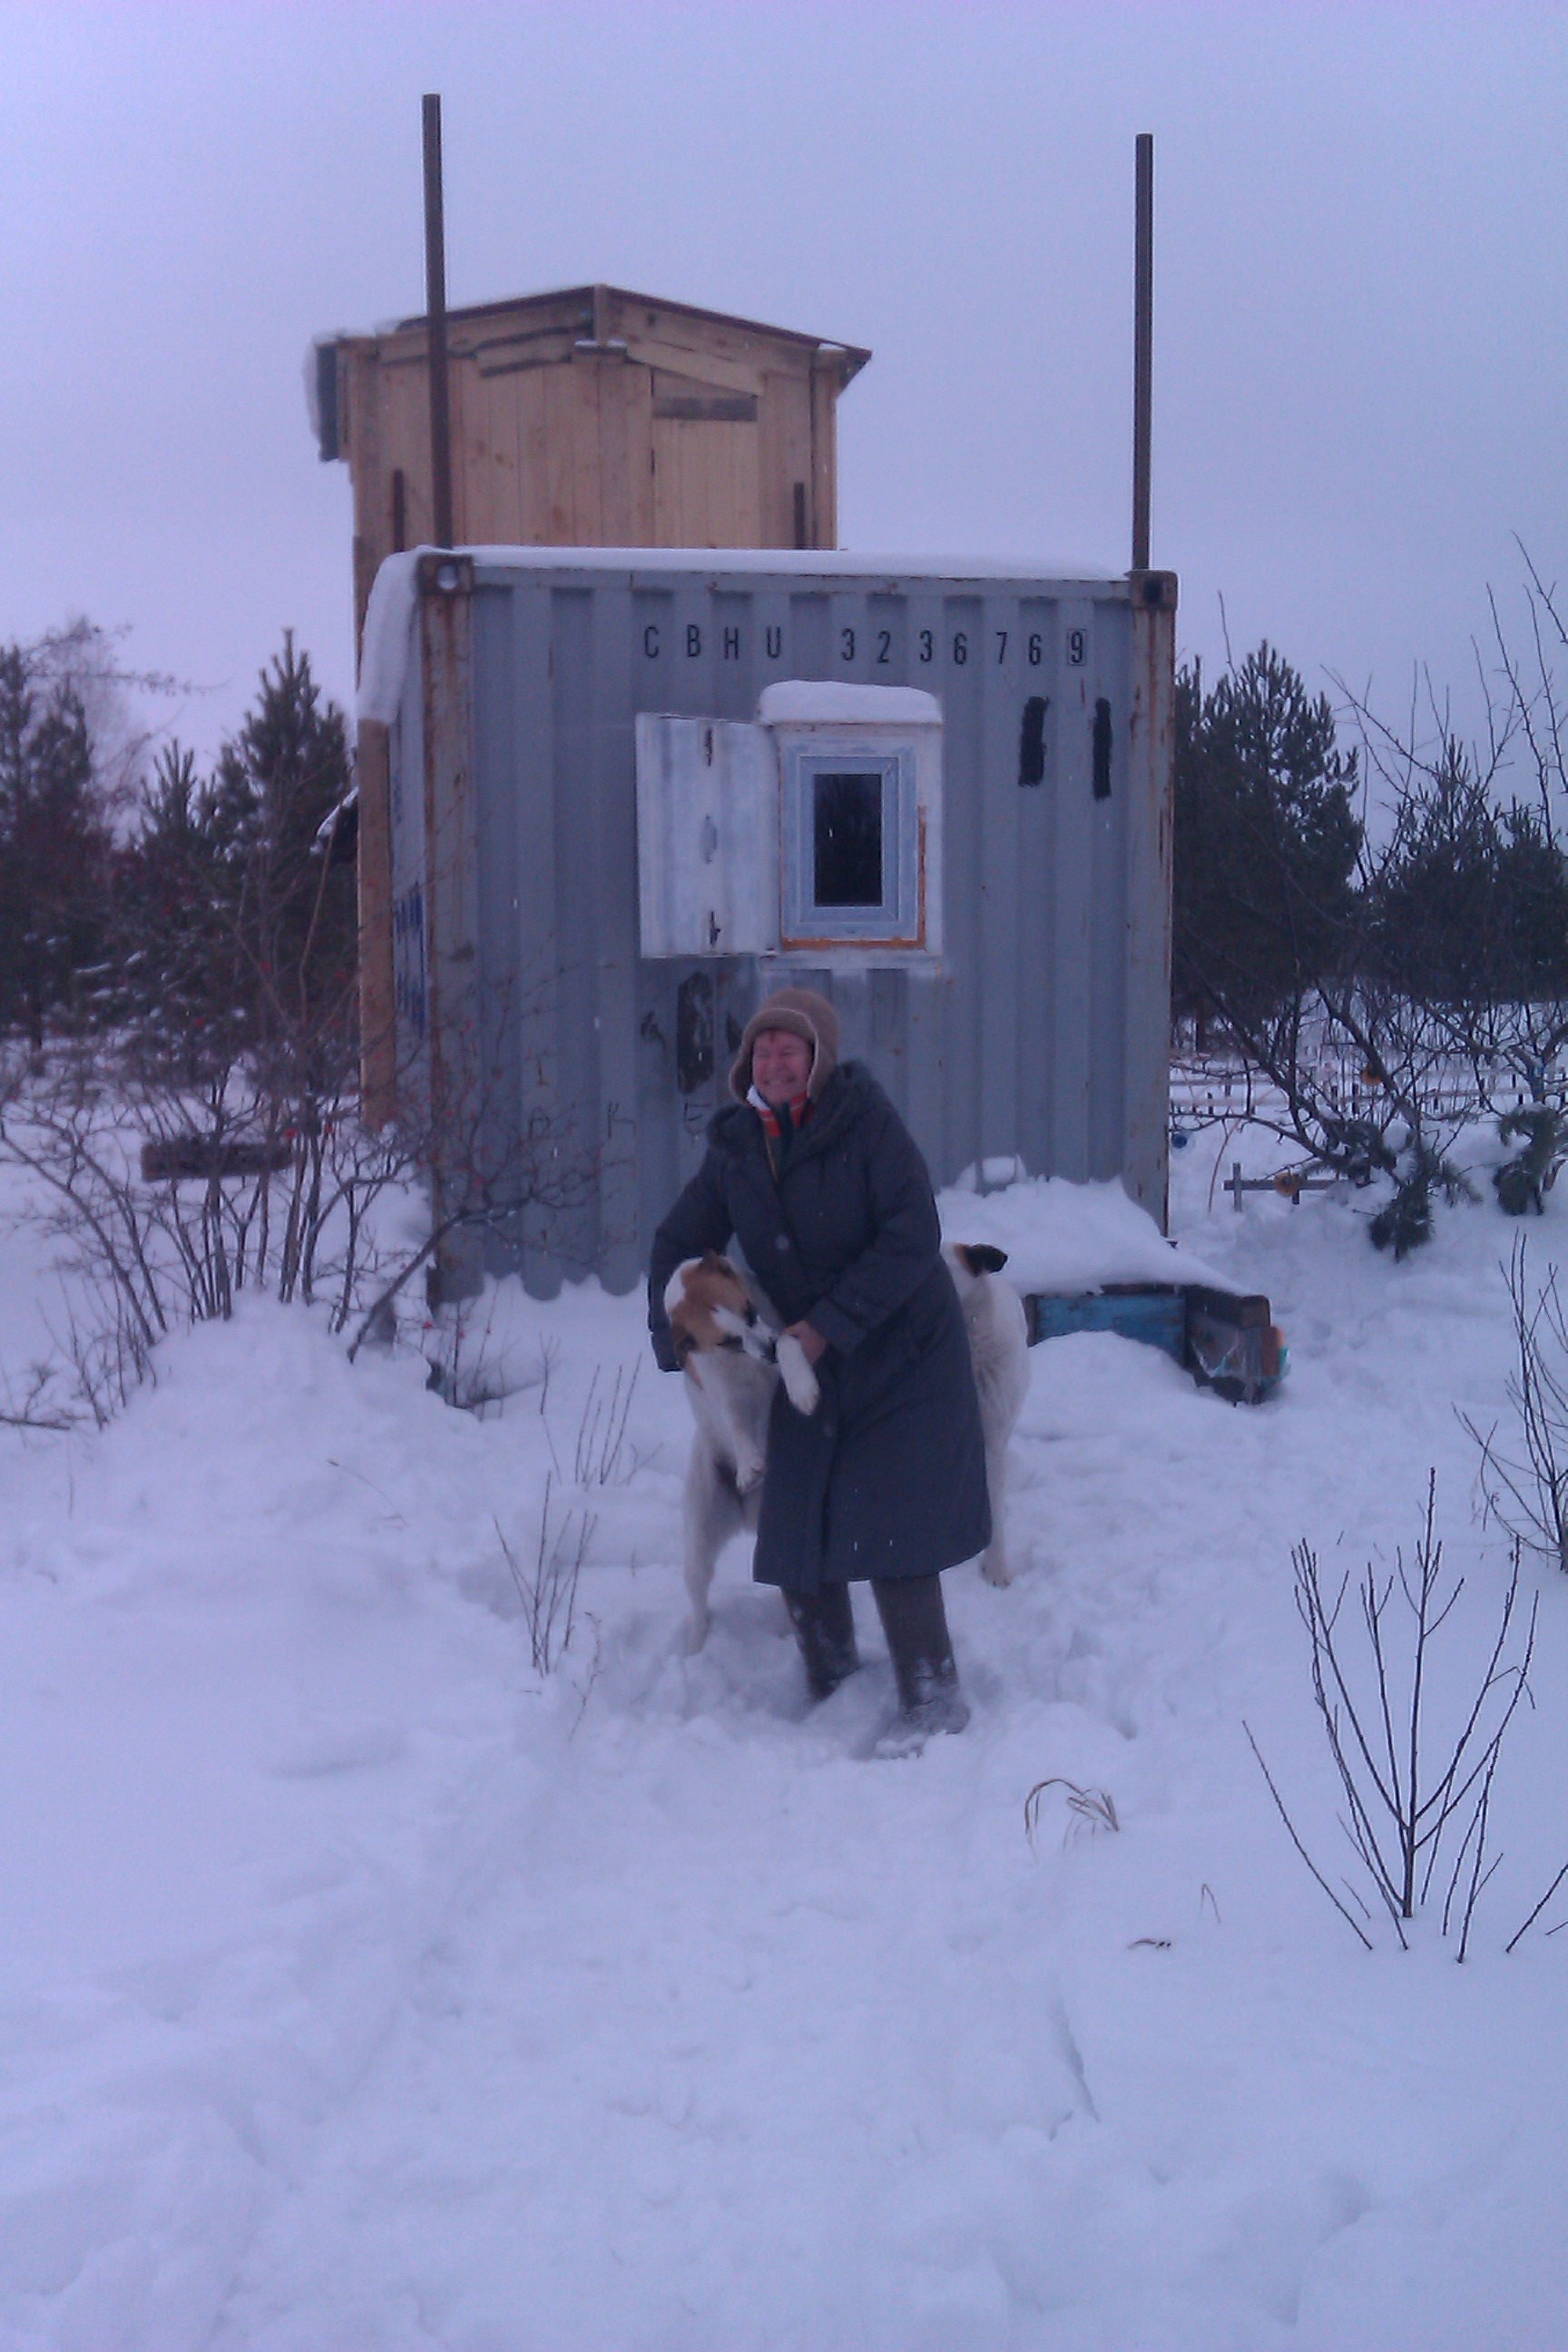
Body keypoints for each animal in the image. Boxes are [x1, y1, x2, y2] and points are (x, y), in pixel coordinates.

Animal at [667, 1250, 822, 1655]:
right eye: (728, 1341)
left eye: (750, 1310)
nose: (766, 1351)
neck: (747, 1365)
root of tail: (747, 1515)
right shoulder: (722, 1392)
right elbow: (735, 1423)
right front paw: (749, 1464)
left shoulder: (779, 1334)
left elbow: (789, 1344)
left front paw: (802, 1388)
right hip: (699, 1540)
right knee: (699, 1598)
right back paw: (694, 1647)